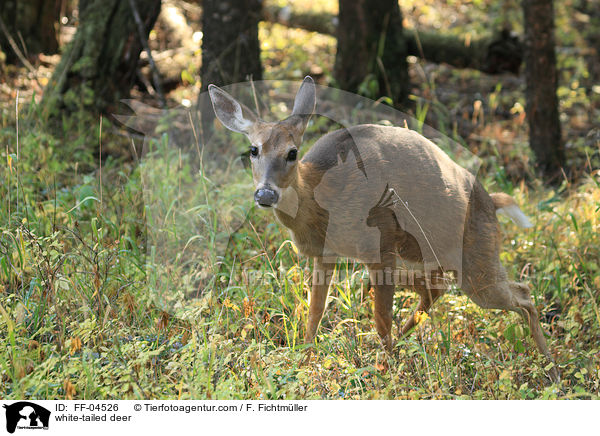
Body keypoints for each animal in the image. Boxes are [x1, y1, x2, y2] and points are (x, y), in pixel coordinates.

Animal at [209, 76, 560, 380]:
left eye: (292, 152)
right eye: (253, 150)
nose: (265, 194)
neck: (321, 201)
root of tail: (492, 202)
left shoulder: (381, 239)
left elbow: (379, 318)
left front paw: (385, 374)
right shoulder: (326, 254)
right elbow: (315, 313)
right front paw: (303, 364)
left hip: (476, 258)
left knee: (523, 295)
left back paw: (552, 370)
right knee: (437, 289)